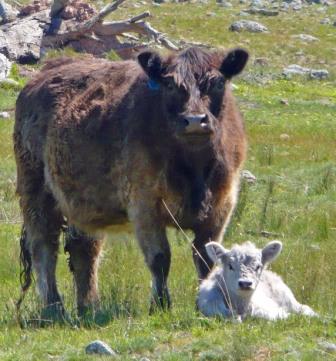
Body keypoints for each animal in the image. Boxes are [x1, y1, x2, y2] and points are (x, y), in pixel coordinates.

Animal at [14, 45, 248, 316]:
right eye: (170, 85)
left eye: (218, 83)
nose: (194, 120)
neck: (193, 169)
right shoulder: (144, 203)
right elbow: (160, 257)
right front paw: (160, 305)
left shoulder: (222, 204)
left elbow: (206, 258)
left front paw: (206, 305)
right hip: (35, 189)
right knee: (44, 247)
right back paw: (54, 308)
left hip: (82, 201)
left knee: (83, 250)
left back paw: (89, 307)